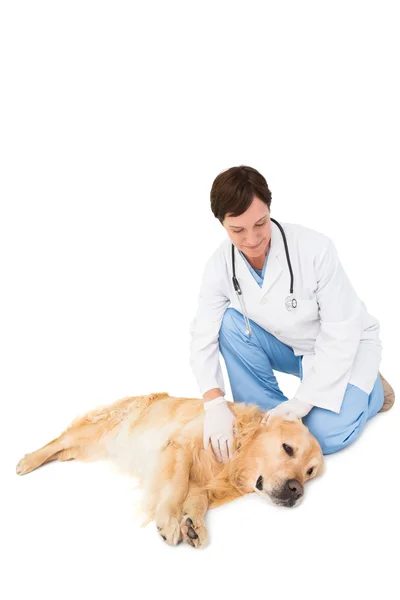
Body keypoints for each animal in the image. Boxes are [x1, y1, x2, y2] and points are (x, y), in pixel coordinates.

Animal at [16, 392, 324, 548]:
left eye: (310, 472)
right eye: (287, 449)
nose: (297, 491)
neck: (234, 459)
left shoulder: (204, 483)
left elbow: (197, 500)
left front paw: (193, 525)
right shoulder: (179, 447)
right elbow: (176, 486)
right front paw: (169, 521)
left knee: (65, 448)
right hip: (100, 427)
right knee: (58, 440)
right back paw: (27, 461)